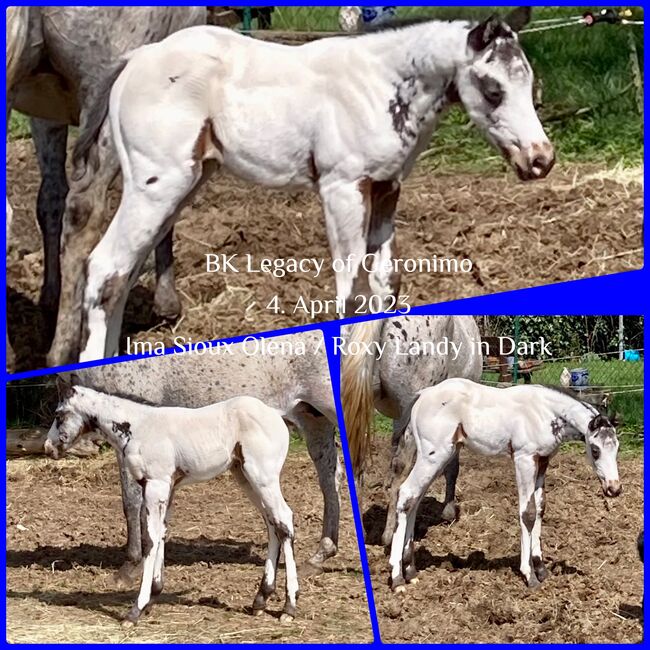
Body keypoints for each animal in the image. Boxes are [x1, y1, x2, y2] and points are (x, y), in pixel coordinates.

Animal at [45, 380, 298, 624]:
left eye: (58, 415)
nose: (48, 448)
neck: (139, 427)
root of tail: (276, 414)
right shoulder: (167, 488)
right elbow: (162, 534)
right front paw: (154, 595)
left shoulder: (155, 485)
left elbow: (150, 539)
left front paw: (136, 610)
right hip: (245, 477)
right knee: (272, 524)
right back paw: (261, 599)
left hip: (263, 477)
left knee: (284, 521)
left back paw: (289, 607)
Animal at [388, 378, 620, 588]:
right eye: (595, 450)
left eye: (616, 447)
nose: (614, 488)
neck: (545, 412)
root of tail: (422, 395)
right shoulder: (524, 459)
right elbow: (528, 513)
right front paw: (530, 575)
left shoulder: (543, 461)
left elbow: (540, 508)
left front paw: (541, 568)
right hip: (434, 456)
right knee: (406, 494)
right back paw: (397, 578)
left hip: (439, 457)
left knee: (414, 500)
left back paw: (410, 571)